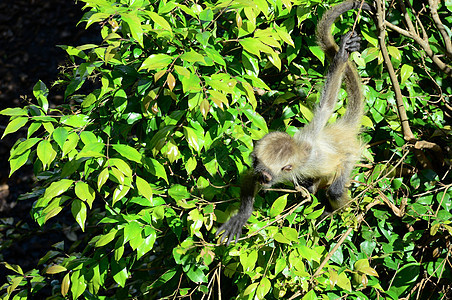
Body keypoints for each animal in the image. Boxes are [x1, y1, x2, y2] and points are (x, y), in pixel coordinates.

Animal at [215, 1, 374, 245]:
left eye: (266, 175)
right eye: (256, 167)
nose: (262, 180)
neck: (300, 160)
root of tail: (341, 129)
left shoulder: (311, 148)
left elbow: (327, 105)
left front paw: (339, 59)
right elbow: (247, 178)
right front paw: (241, 216)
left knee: (336, 188)